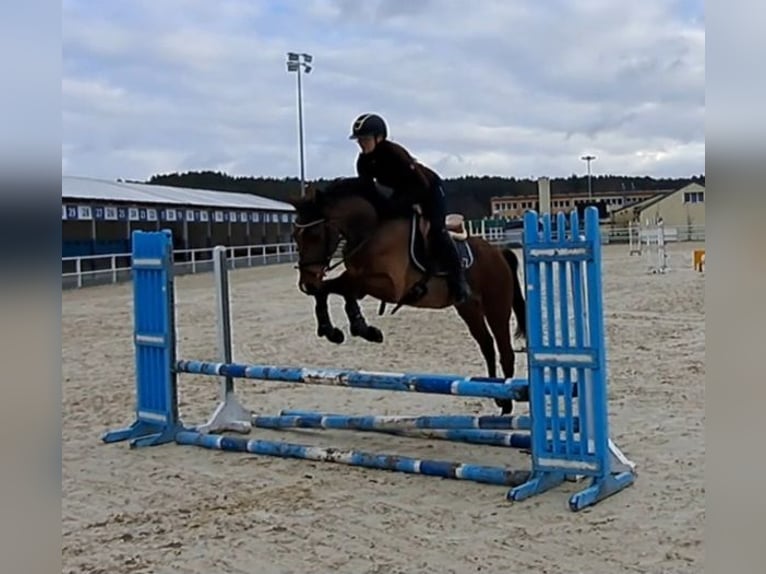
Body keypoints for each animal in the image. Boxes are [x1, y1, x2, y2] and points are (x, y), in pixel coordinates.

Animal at [288, 178, 528, 416]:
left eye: (314, 235)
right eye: (295, 237)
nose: (305, 283)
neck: (371, 232)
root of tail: (499, 253)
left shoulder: (388, 286)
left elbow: (339, 290)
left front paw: (360, 329)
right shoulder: (357, 281)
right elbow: (328, 290)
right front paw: (337, 330)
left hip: (496, 306)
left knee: (505, 351)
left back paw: (506, 403)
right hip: (468, 308)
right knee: (487, 345)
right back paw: (495, 393)